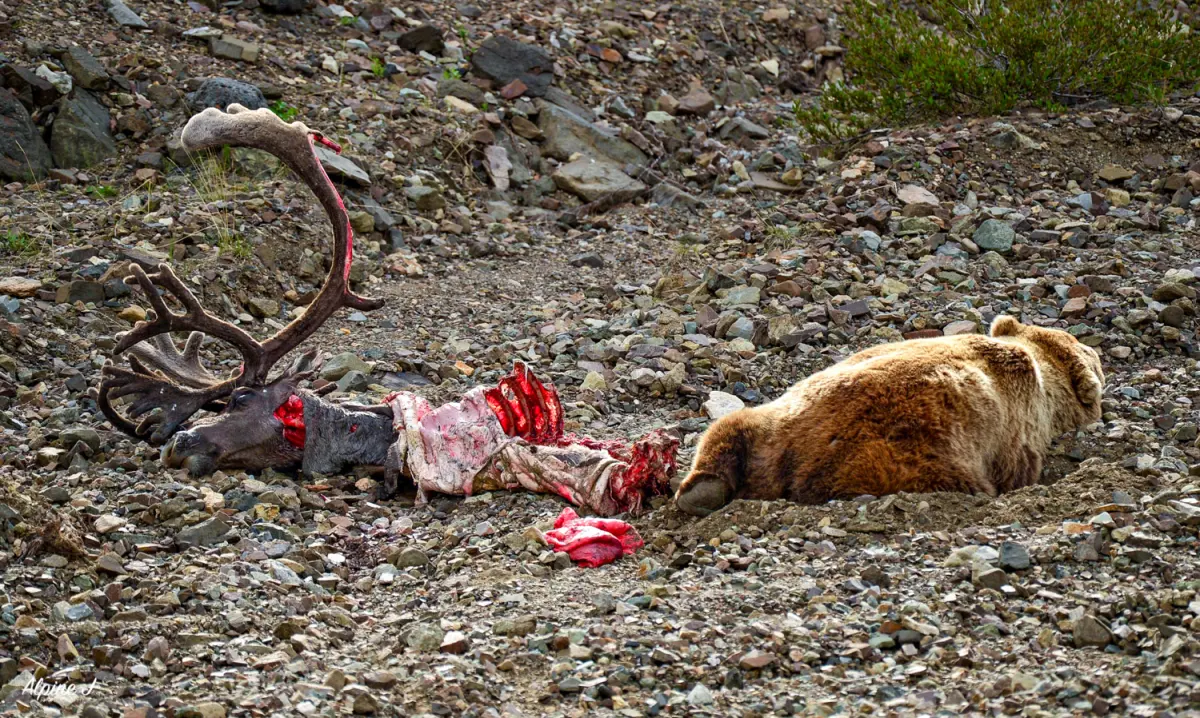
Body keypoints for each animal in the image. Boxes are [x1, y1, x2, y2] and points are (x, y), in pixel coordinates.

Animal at [674, 316, 1104, 516]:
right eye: (1090, 353)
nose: (1099, 354)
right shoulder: (1019, 430)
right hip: (908, 456)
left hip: (774, 420)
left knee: (729, 428)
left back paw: (703, 489)